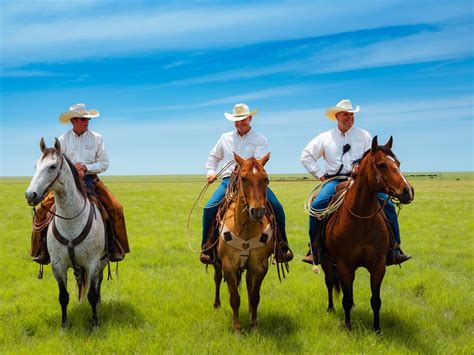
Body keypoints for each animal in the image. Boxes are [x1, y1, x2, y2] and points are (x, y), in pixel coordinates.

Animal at [25, 138, 107, 328]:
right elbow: (63, 297)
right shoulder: (58, 266)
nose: (30, 195)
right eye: (35, 165)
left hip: (103, 262)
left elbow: (92, 295)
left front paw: (95, 324)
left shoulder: (93, 263)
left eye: (53, 166)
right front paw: (64, 325)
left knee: (98, 283)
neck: (71, 222)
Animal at [212, 152, 272, 334]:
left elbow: (254, 296)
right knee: (217, 279)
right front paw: (237, 328)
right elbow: (234, 298)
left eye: (266, 179)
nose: (257, 211)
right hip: (216, 262)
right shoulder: (228, 265)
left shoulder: (260, 266)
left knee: (248, 285)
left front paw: (253, 325)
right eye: (243, 178)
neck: (245, 228)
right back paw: (216, 304)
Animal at [322, 136, 414, 330]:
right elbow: (346, 299)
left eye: (398, 163)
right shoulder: (343, 265)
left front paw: (377, 329)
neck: (361, 220)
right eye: (381, 165)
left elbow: (376, 300)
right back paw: (331, 308)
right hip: (326, 261)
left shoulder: (378, 266)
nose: (408, 191)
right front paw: (348, 328)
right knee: (329, 282)